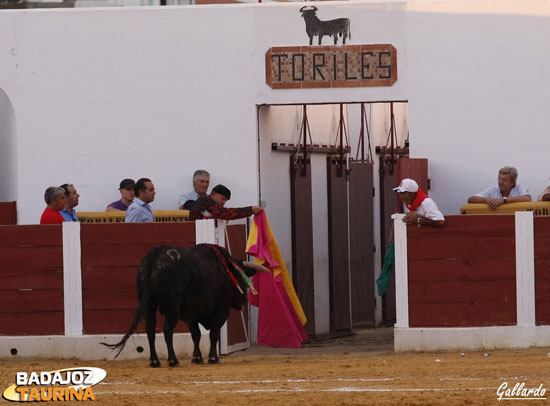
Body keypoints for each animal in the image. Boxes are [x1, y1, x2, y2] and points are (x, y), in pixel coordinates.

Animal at [103, 244, 270, 368]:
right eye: (242, 280)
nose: (244, 303)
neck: (224, 270)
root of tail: (157, 252)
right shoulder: (220, 312)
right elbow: (213, 334)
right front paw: (213, 358)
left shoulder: (191, 314)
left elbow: (196, 334)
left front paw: (197, 358)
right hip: (172, 307)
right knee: (167, 329)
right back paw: (173, 360)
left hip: (149, 304)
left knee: (150, 329)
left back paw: (155, 361)